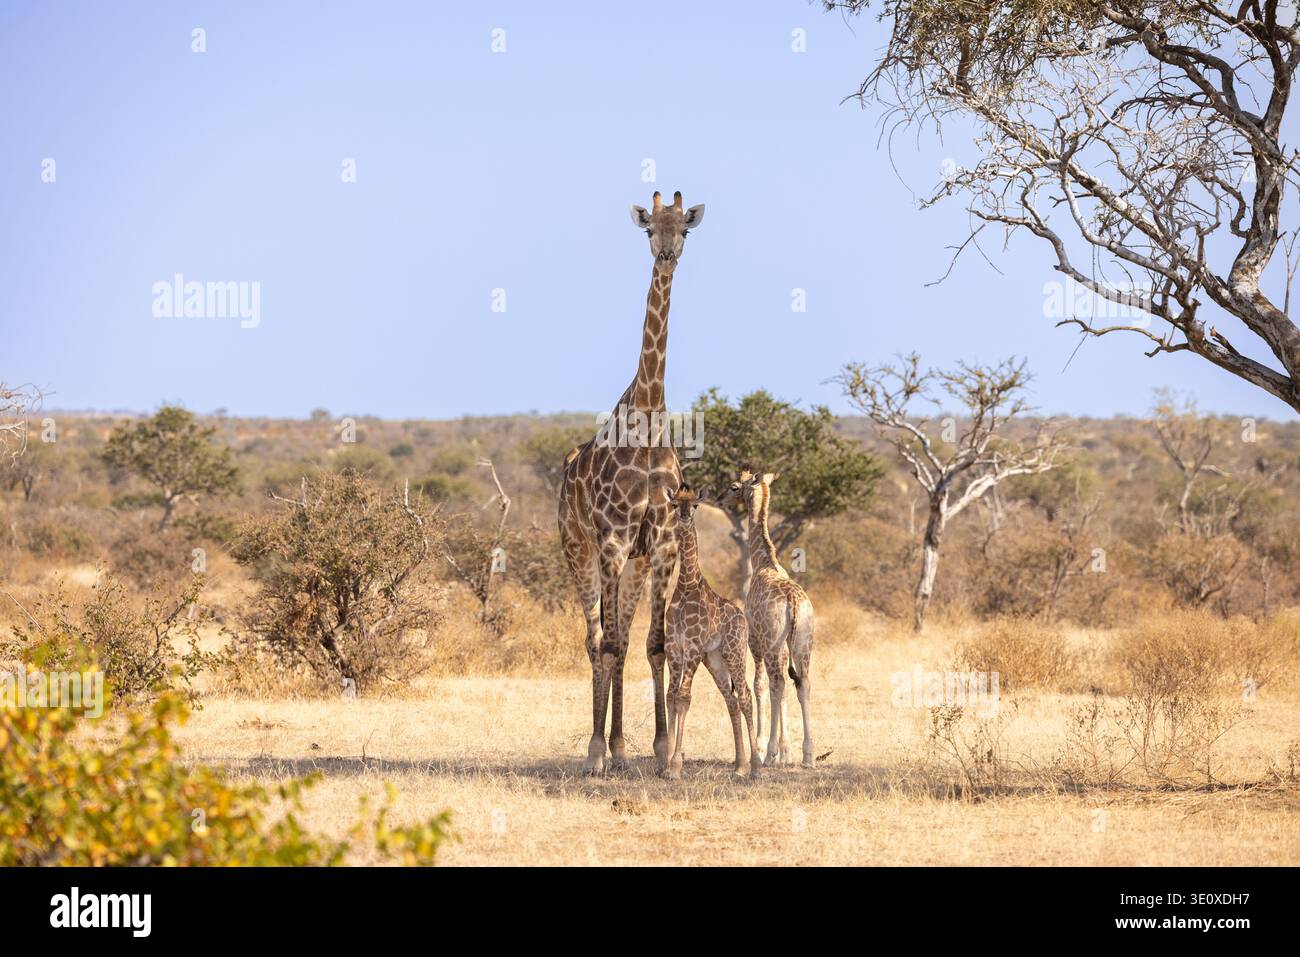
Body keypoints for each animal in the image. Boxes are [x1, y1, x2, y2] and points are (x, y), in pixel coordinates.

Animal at [558, 190, 705, 775]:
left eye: (683, 227)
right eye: (649, 229)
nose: (667, 255)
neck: (646, 420)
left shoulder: (659, 544)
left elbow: (655, 644)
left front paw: (662, 750)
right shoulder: (613, 541)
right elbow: (608, 643)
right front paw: (597, 752)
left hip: (634, 565)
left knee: (619, 640)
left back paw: (621, 746)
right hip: (579, 552)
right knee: (594, 638)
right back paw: (600, 750)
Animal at [664, 485, 760, 779]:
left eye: (695, 505)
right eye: (674, 504)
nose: (684, 517)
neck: (686, 585)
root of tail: (742, 617)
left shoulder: (693, 646)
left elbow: (683, 697)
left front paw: (675, 765)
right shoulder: (674, 648)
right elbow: (670, 696)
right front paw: (664, 762)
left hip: (735, 652)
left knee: (745, 696)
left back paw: (756, 765)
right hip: (715, 660)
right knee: (730, 699)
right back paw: (739, 765)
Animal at [725, 470, 816, 768]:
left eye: (734, 486)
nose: (721, 498)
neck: (763, 562)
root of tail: (794, 603)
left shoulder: (755, 641)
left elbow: (759, 685)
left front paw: (770, 746)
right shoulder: (782, 646)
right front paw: (786, 751)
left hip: (774, 646)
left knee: (778, 684)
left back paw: (770, 754)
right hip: (803, 644)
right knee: (802, 684)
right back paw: (808, 755)